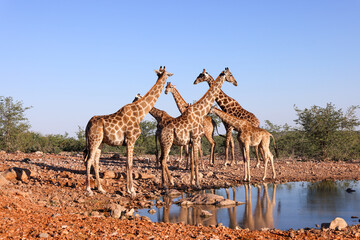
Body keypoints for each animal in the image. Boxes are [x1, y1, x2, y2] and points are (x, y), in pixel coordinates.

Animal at [85, 66, 174, 197]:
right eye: (167, 74)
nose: (166, 90)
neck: (140, 113)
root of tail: (87, 124)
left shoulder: (128, 141)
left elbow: (128, 163)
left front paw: (129, 189)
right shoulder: (131, 139)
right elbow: (130, 164)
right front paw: (132, 191)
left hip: (100, 142)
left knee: (95, 162)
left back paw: (101, 189)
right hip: (94, 140)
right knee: (88, 160)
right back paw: (89, 190)